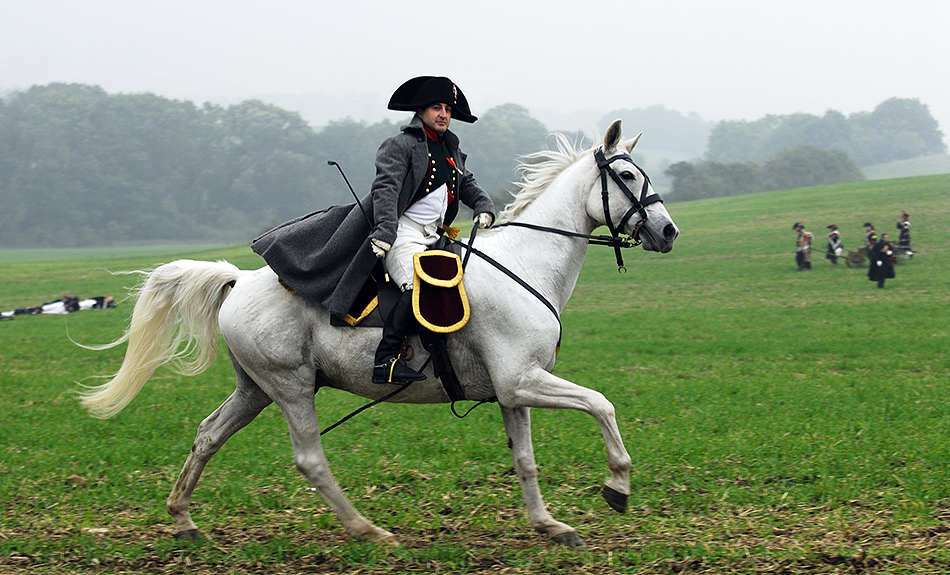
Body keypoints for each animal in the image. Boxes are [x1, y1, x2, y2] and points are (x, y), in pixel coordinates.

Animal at [79, 119, 679, 547]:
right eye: (627, 177)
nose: (668, 232)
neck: (525, 264)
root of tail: (240, 279)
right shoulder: (522, 380)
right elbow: (601, 404)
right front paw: (617, 487)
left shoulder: (512, 389)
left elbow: (525, 460)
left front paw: (549, 525)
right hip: (292, 388)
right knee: (310, 459)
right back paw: (368, 530)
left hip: (255, 389)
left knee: (208, 435)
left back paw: (182, 518)